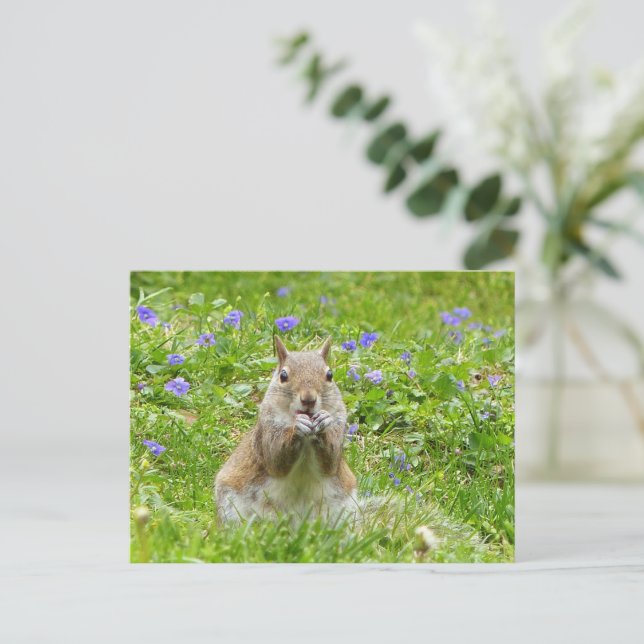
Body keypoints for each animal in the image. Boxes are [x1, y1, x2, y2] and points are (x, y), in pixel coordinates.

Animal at [214, 336, 357, 524]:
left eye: (330, 375)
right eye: (283, 375)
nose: (308, 399)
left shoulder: (339, 423)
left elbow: (330, 463)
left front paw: (323, 421)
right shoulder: (267, 428)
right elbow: (275, 459)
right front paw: (297, 427)